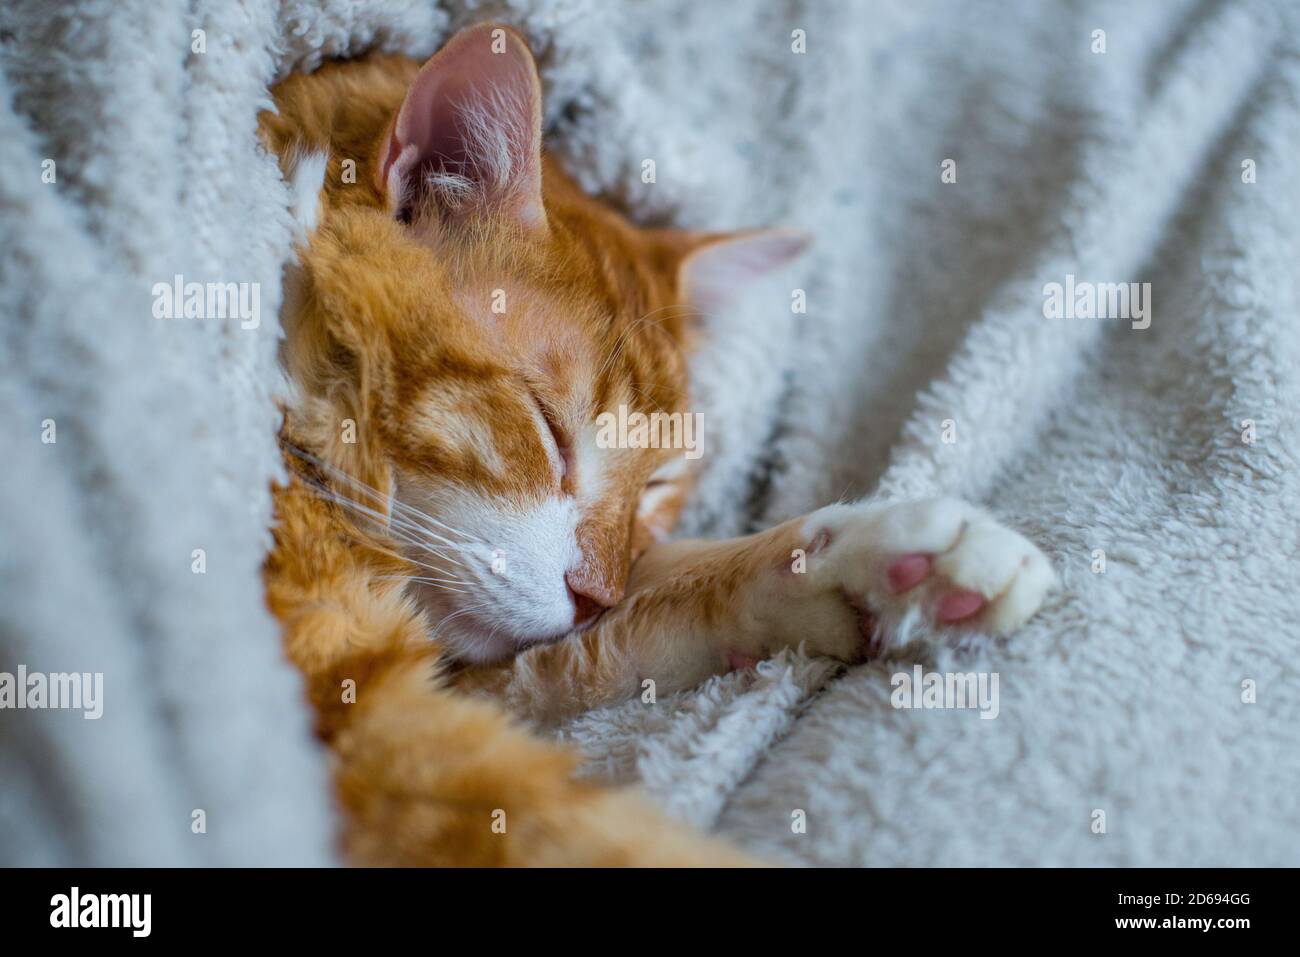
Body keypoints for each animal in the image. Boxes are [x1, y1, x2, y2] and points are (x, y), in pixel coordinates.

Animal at [261, 24, 1055, 868]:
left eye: (657, 484)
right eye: (548, 428)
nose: (591, 596)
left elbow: (634, 616)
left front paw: (869, 558)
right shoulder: (355, 716)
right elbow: (571, 825)